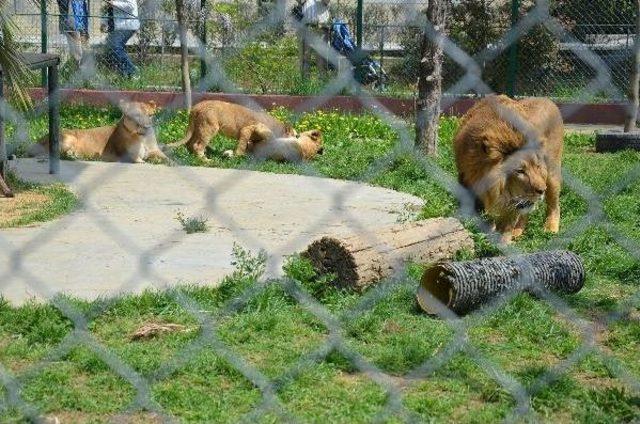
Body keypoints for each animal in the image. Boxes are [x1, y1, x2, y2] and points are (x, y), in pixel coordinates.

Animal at [452, 94, 564, 243]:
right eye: (520, 171)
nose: (542, 190)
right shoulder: (465, 180)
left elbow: (507, 224)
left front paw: (502, 243)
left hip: (552, 173)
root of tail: (547, 99)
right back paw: (518, 231)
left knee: (554, 205)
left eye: (537, 167)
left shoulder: (513, 200)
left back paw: (550, 229)